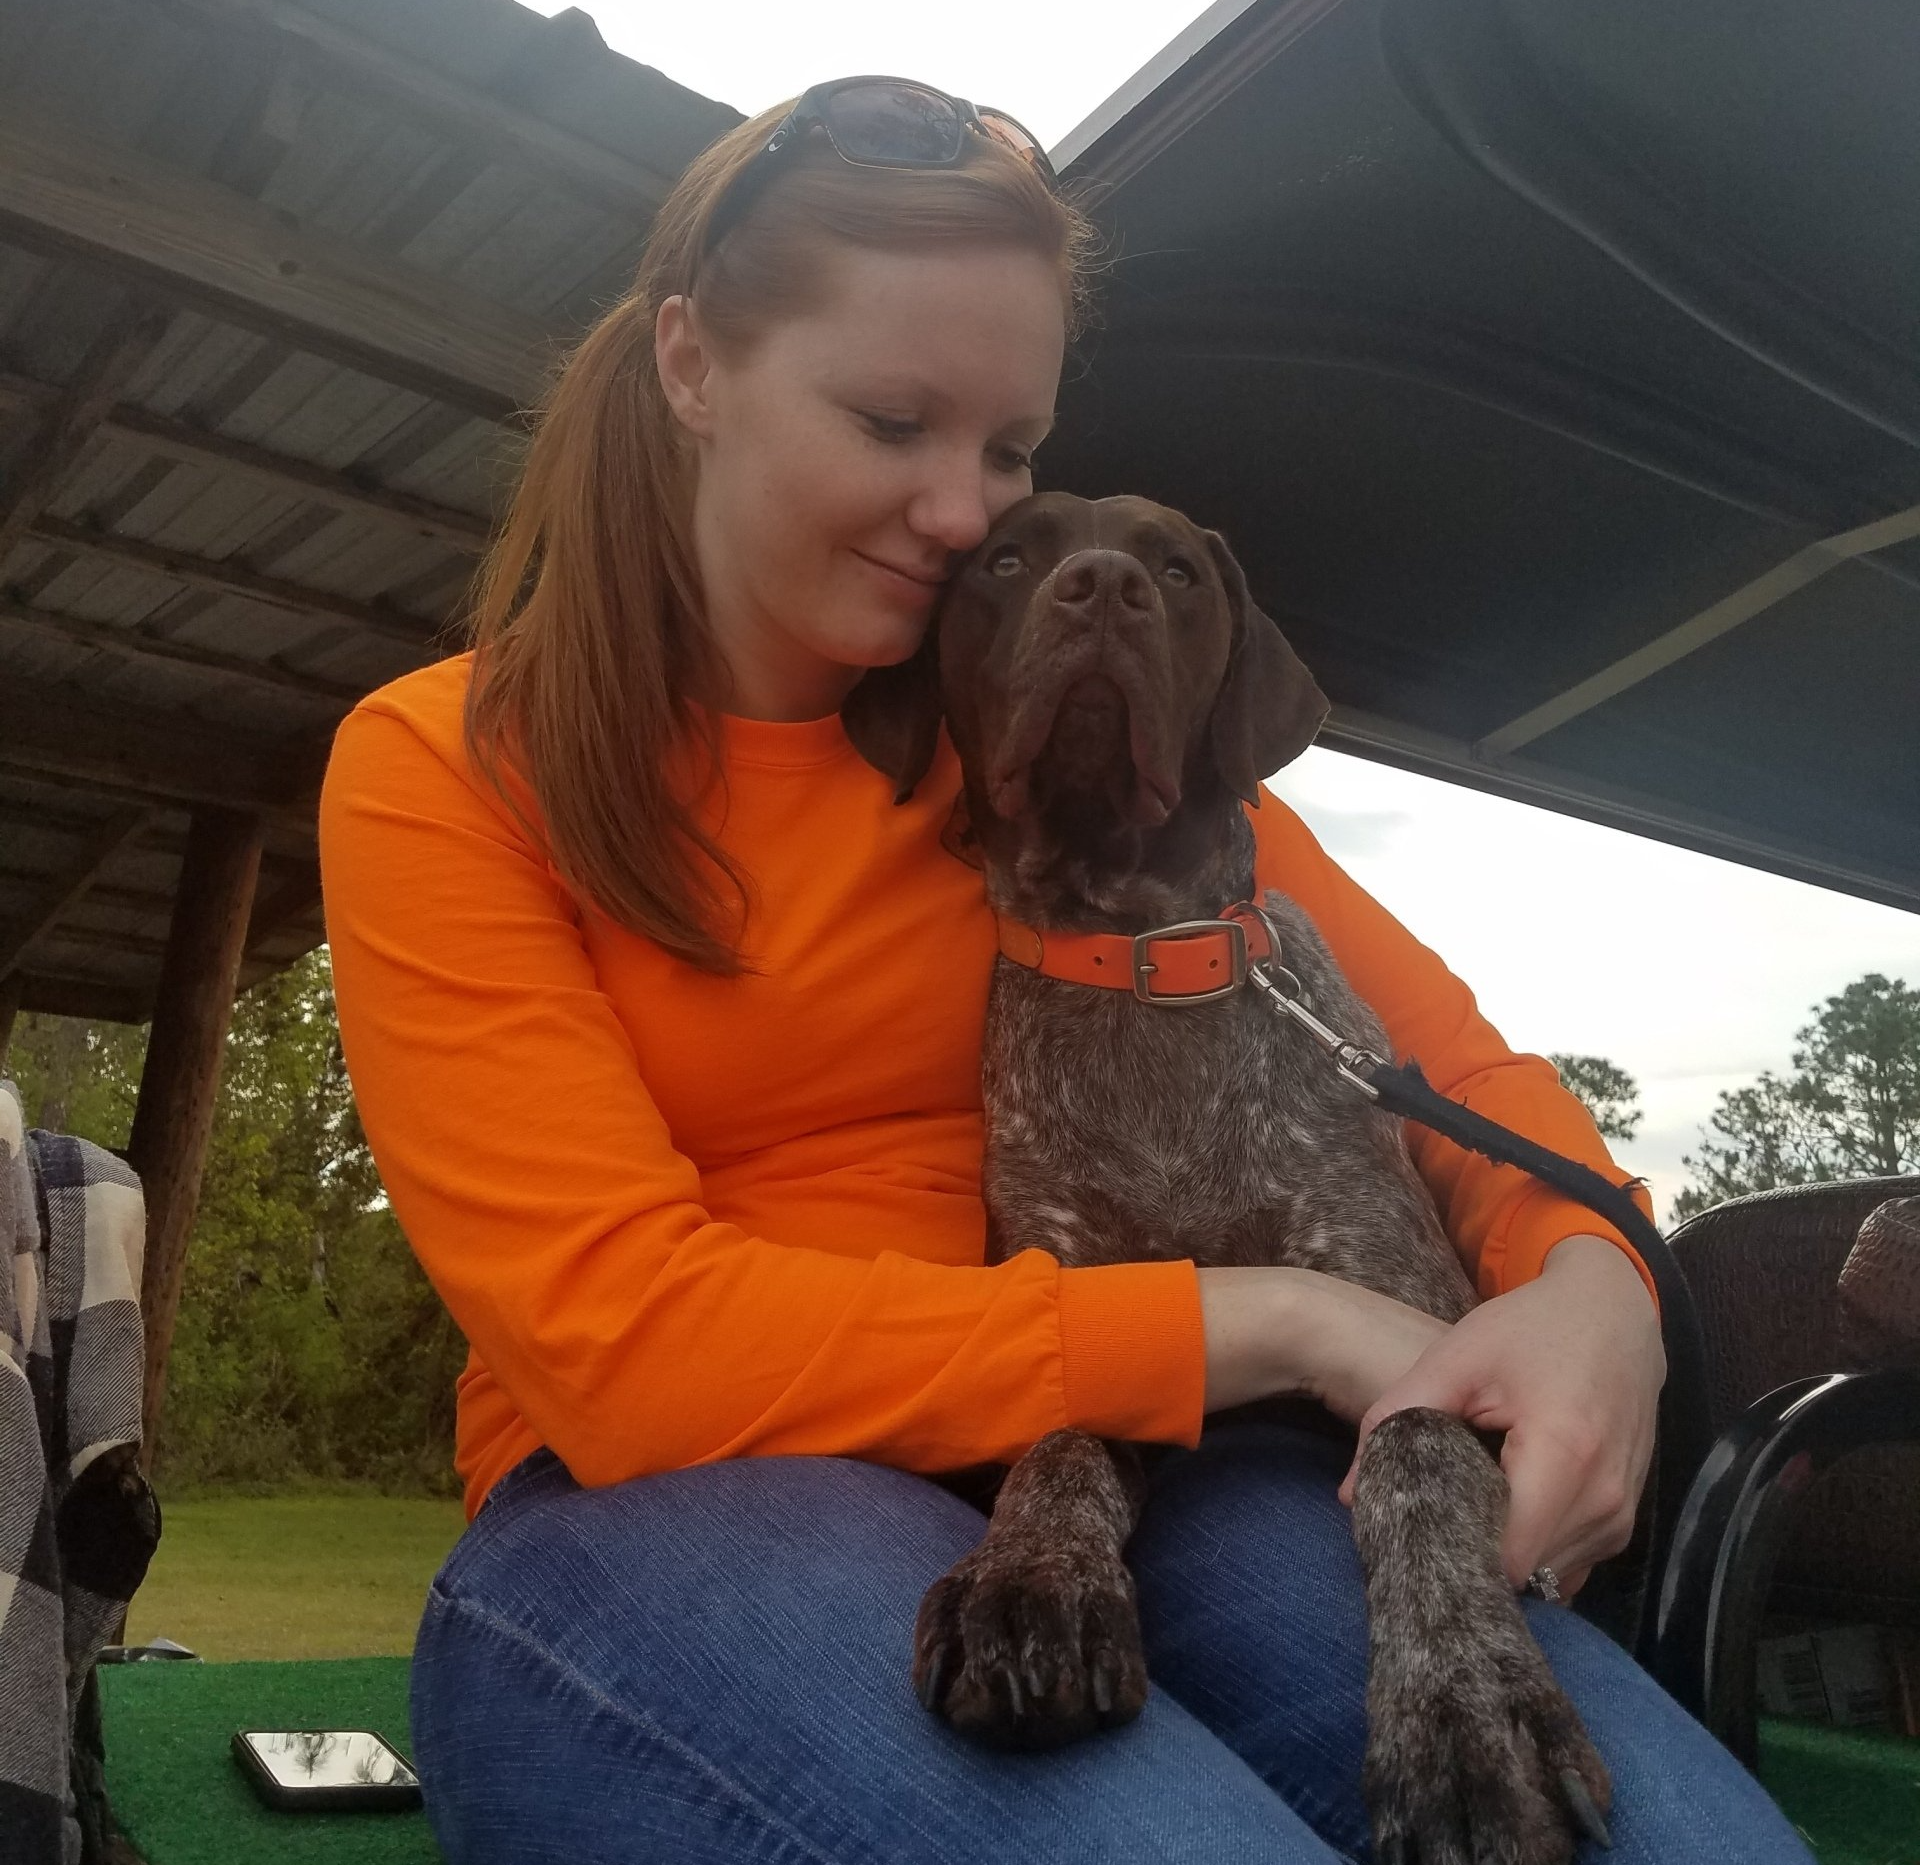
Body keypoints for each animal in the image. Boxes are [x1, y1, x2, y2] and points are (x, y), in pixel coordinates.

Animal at [841, 491, 1614, 1865]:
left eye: (1178, 569)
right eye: (1005, 558)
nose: (1102, 588)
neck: (1141, 954)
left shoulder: (1419, 1329)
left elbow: (1417, 1455)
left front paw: (1468, 1710)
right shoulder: (1080, 1290)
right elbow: (1059, 1433)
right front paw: (1030, 1582)